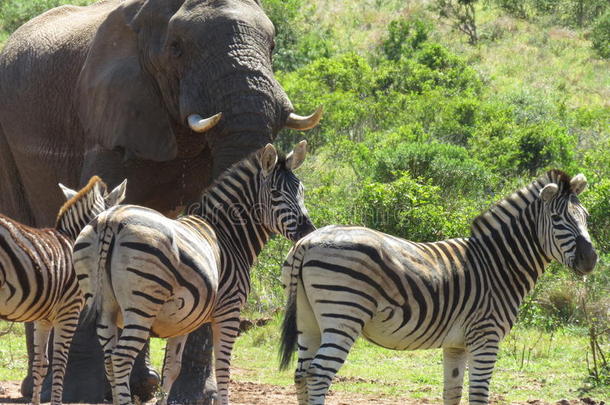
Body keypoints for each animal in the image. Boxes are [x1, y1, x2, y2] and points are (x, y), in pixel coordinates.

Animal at [72, 141, 314, 404]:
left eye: (302, 191)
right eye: (276, 194)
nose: (308, 231)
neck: (228, 235)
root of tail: (111, 220)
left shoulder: (180, 322)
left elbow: (172, 368)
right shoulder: (229, 311)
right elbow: (223, 368)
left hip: (103, 306)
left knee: (109, 361)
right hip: (142, 306)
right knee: (120, 358)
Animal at [278, 170, 596, 404]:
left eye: (587, 217)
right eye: (557, 219)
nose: (591, 259)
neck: (498, 265)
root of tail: (308, 241)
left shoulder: (456, 344)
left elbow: (452, 393)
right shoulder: (486, 336)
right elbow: (478, 395)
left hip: (308, 319)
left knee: (301, 374)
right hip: (344, 312)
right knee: (319, 374)